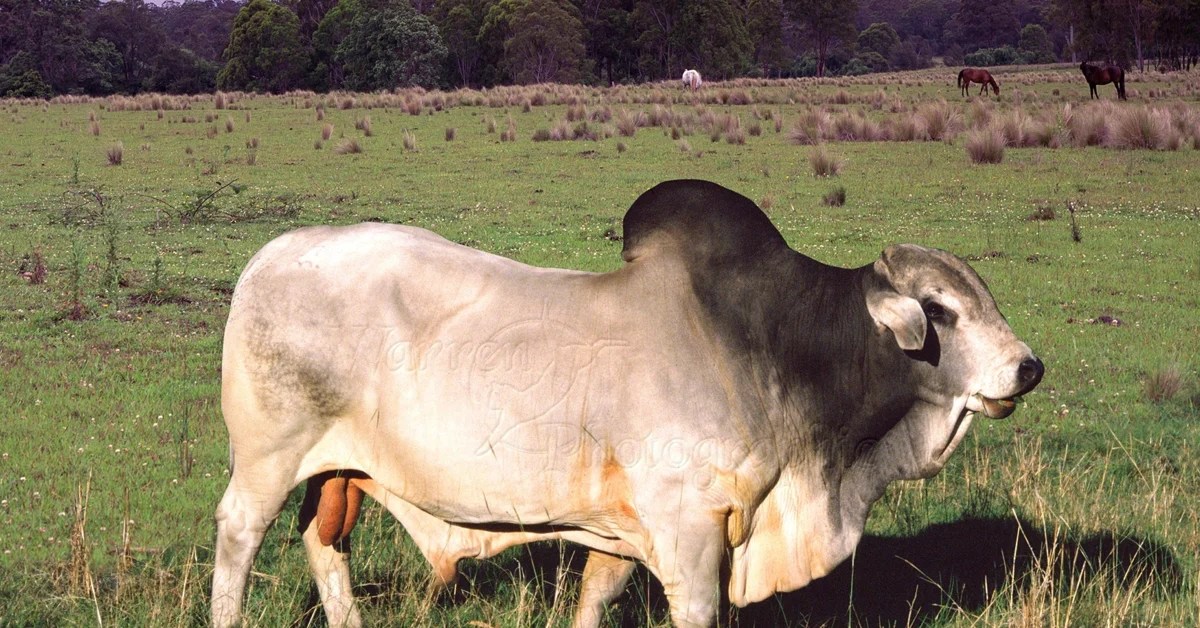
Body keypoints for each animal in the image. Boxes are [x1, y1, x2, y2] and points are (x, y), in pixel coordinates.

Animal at [213, 178, 1041, 624]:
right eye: (939, 311)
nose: (1028, 368)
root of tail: (272, 255)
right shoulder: (690, 530)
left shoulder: (620, 529)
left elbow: (595, 599)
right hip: (266, 461)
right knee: (238, 539)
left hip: (335, 471)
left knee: (325, 545)